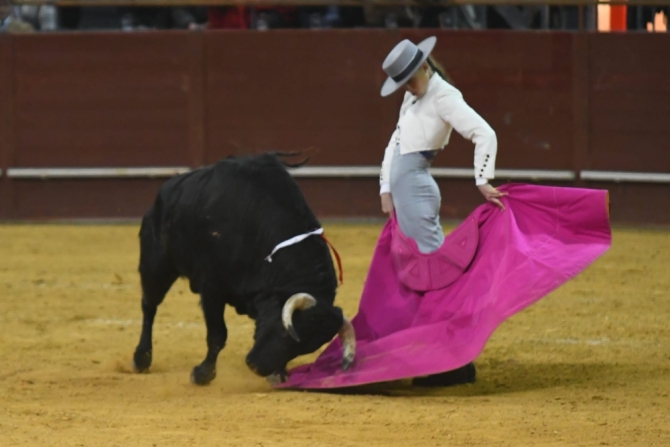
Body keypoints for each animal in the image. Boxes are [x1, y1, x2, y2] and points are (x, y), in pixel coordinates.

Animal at [133, 154, 360, 384]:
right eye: (286, 332)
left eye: (305, 348)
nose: (257, 367)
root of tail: (167, 188)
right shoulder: (212, 287)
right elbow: (218, 334)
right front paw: (202, 374)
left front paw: (280, 373)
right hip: (157, 265)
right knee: (149, 305)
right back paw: (141, 358)